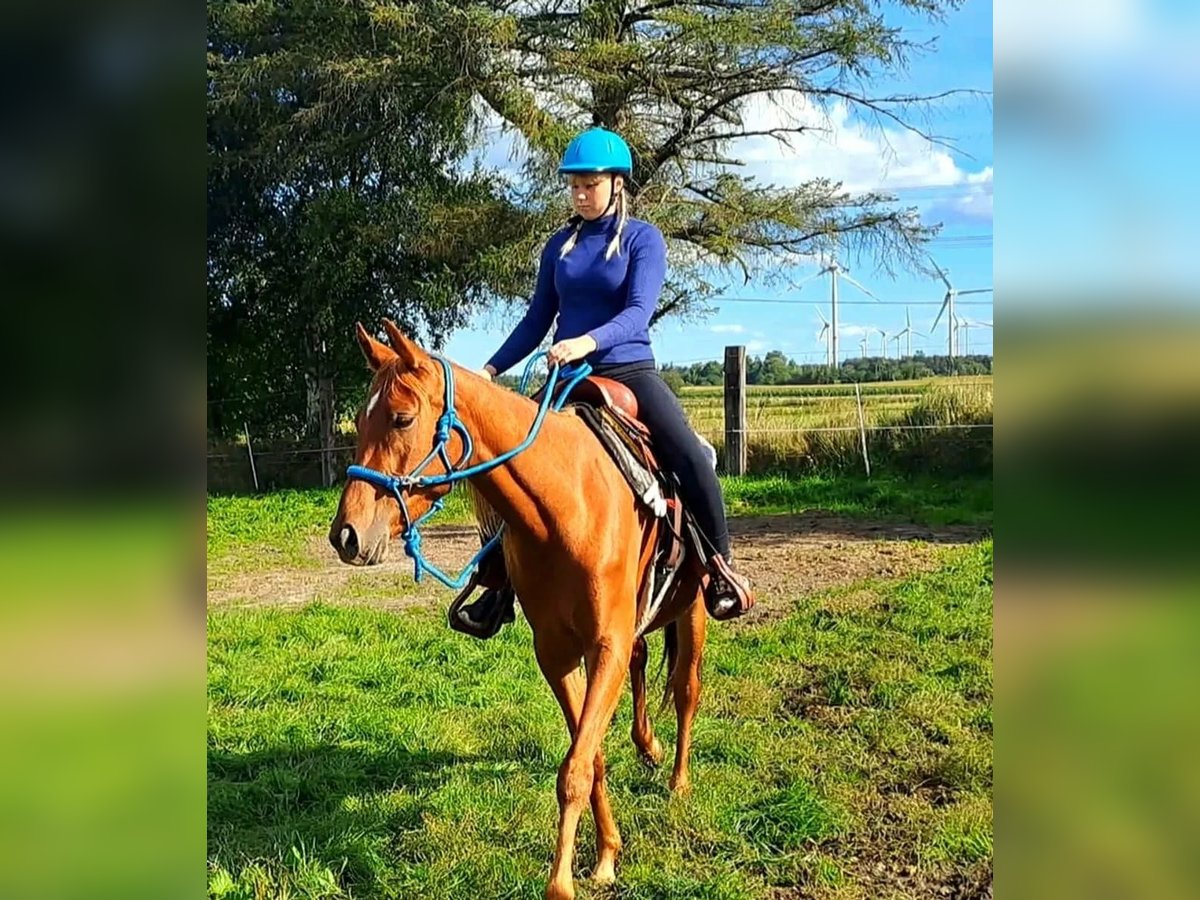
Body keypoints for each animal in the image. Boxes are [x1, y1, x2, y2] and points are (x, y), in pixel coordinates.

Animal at [329, 321, 707, 900]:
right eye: (360, 418)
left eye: (402, 418)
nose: (346, 536)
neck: (567, 506)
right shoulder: (558, 653)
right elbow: (590, 756)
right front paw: (607, 853)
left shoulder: (605, 645)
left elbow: (575, 769)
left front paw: (565, 883)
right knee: (644, 664)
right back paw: (649, 747)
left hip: (694, 610)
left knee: (686, 690)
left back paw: (679, 780)